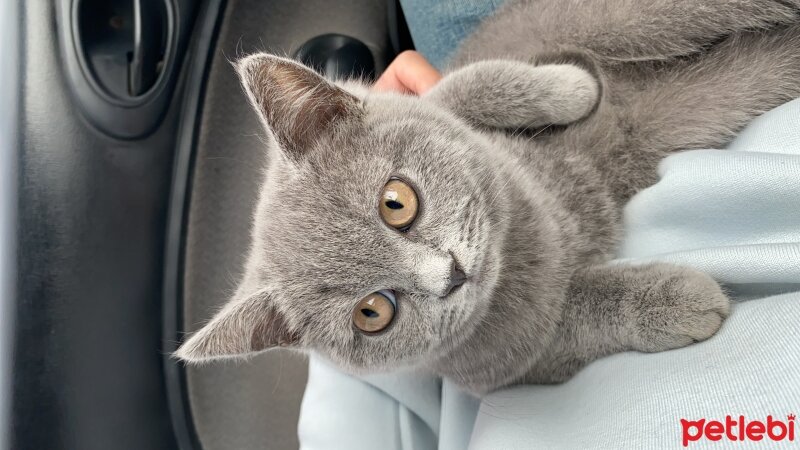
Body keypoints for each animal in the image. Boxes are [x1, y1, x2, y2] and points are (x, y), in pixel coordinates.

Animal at [178, 0, 800, 394]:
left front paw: (573, 87)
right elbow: (576, 313)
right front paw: (681, 299)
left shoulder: (441, 94)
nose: (450, 274)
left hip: (615, 16)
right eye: (373, 312)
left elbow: (482, 80)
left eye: (395, 203)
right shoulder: (508, 363)